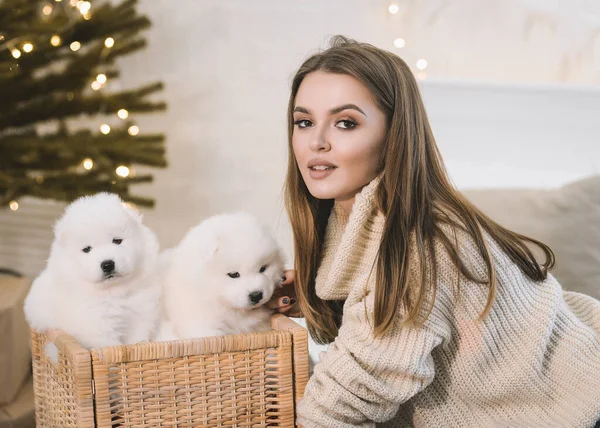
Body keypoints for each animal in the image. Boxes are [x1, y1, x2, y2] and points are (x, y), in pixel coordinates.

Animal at [24, 192, 161, 352]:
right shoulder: (97, 328)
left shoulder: (139, 314)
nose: (107, 264)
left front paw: (139, 346)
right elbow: (110, 345)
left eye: (117, 240)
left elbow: (137, 338)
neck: (113, 292)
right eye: (87, 249)